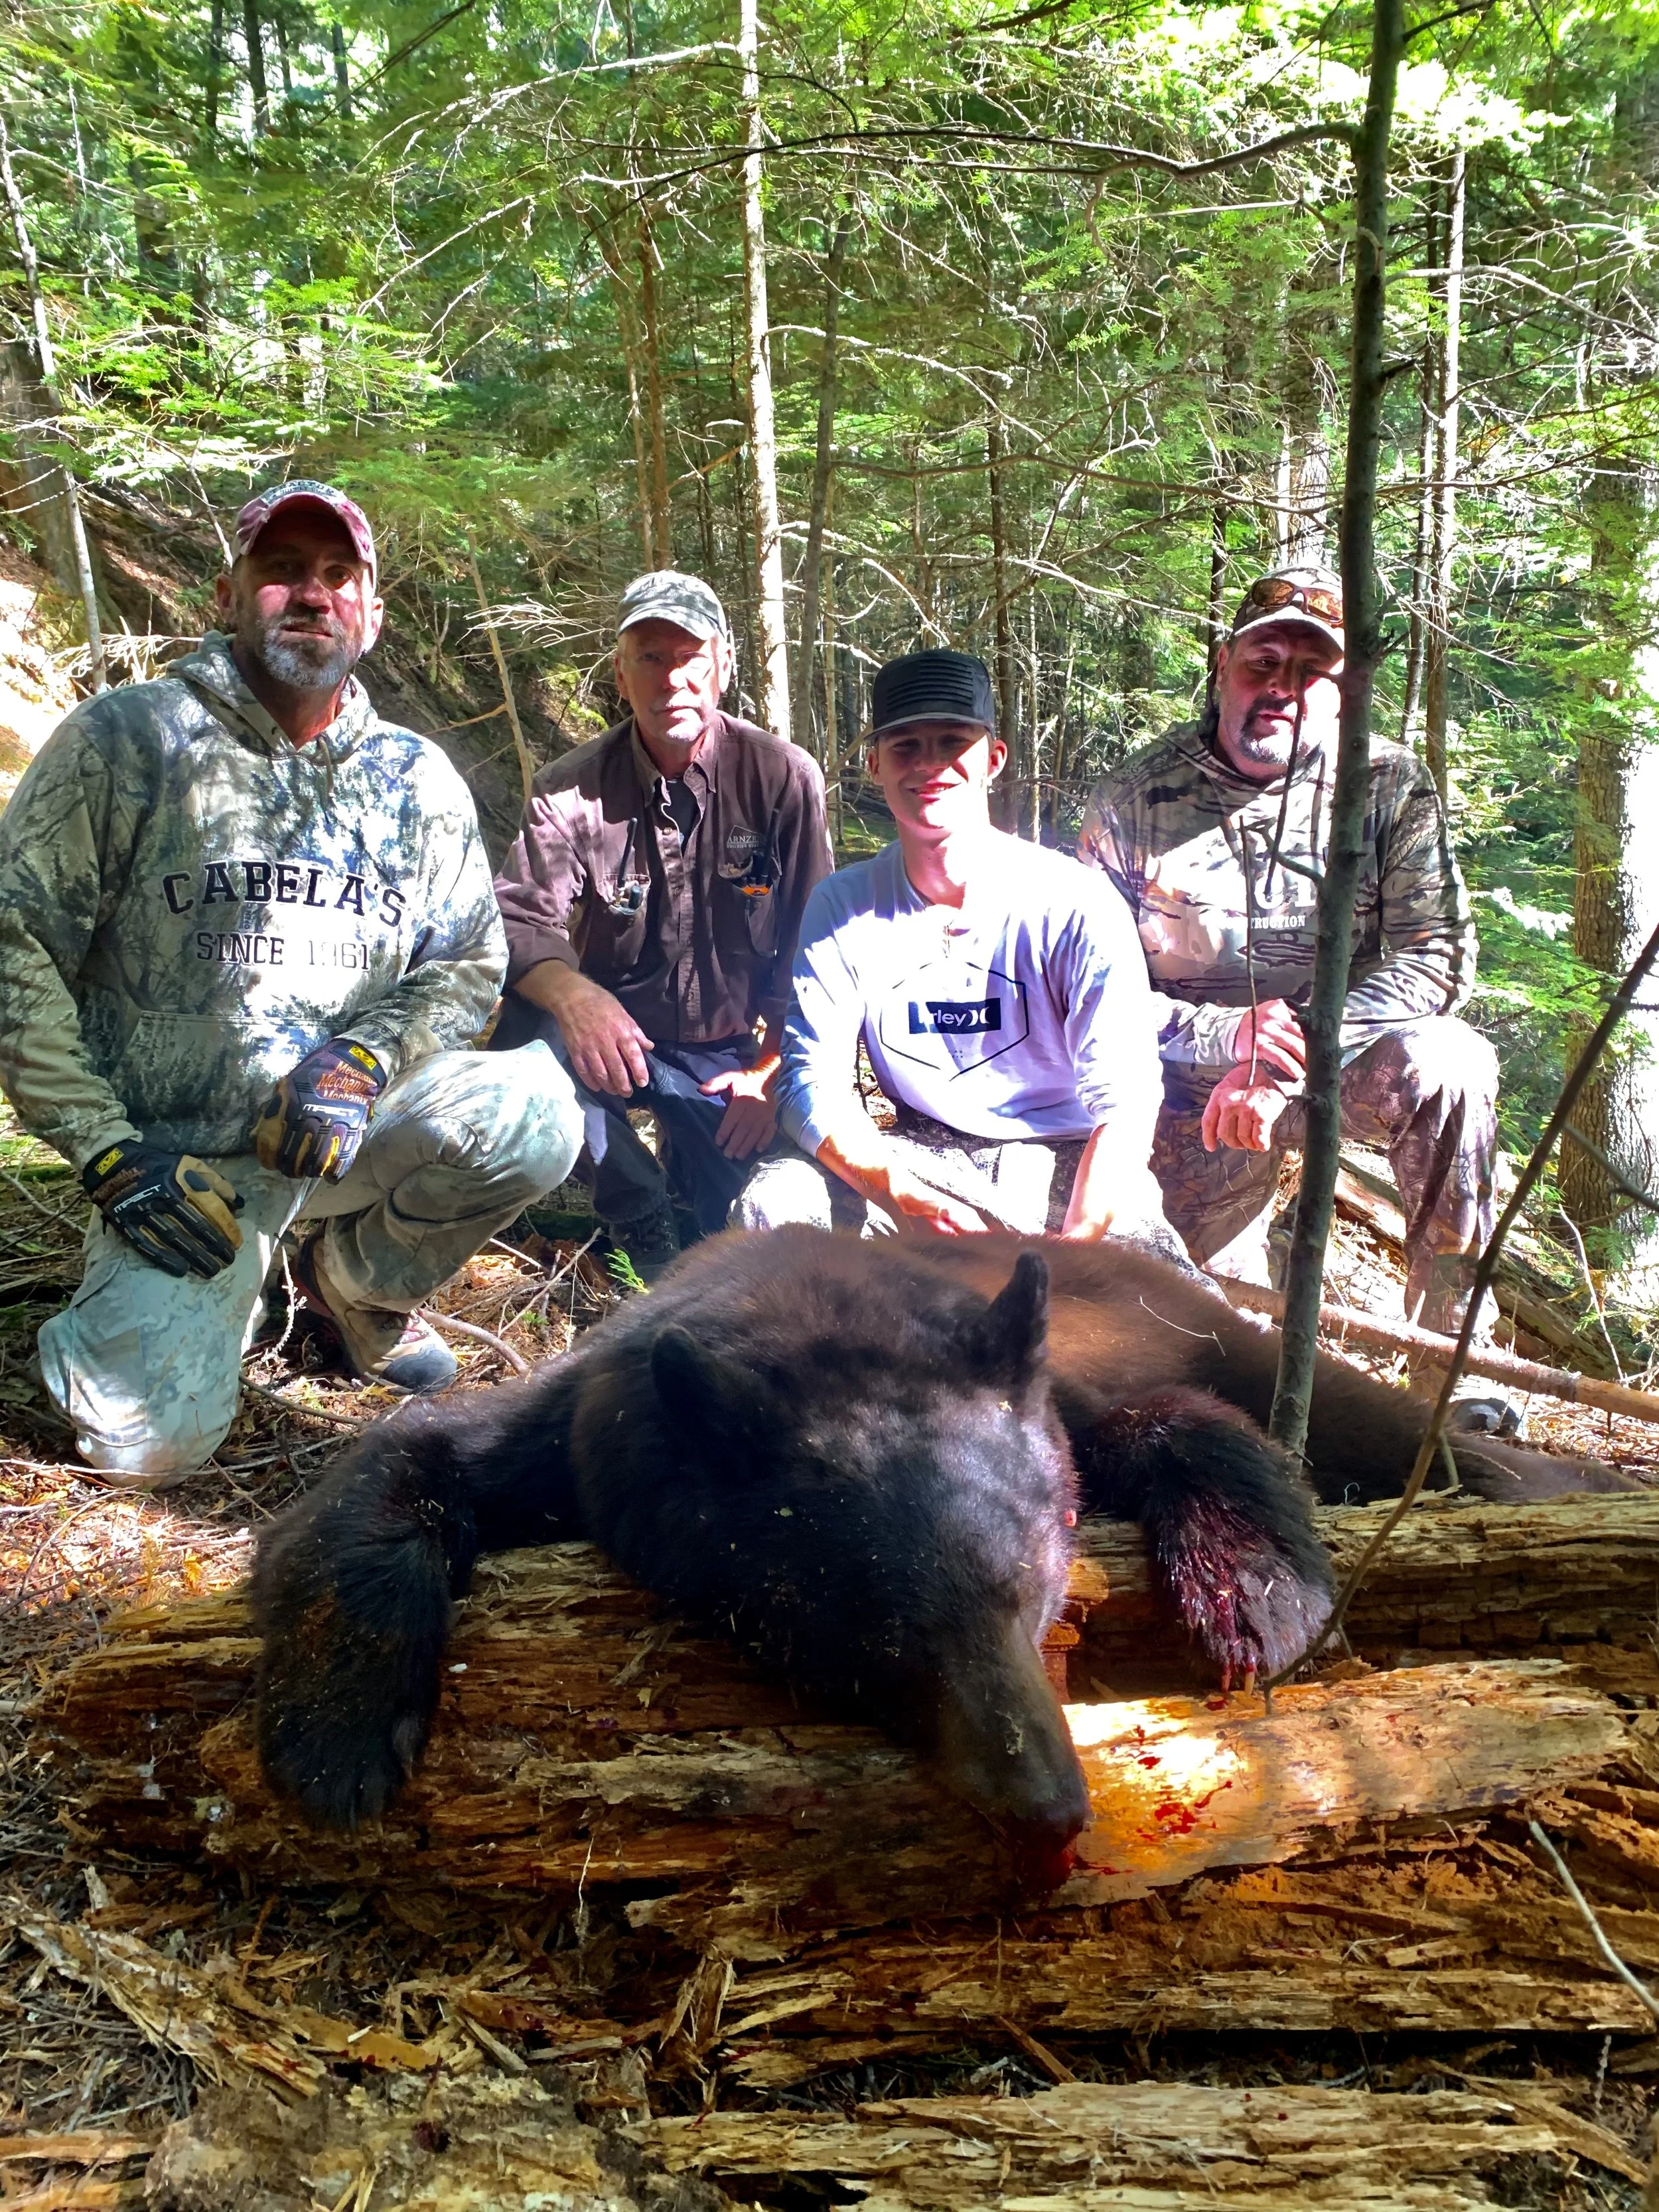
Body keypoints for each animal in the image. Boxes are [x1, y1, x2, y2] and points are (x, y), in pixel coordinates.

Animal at [253, 1226, 1633, 1866]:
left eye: (1034, 1593)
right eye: (866, 1631)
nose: (1052, 1800)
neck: (809, 1317)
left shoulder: (1059, 1386)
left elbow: (1183, 1422)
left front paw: (1257, 1591)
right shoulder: (586, 1422)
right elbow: (398, 1463)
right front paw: (337, 1736)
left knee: (1383, 1419)